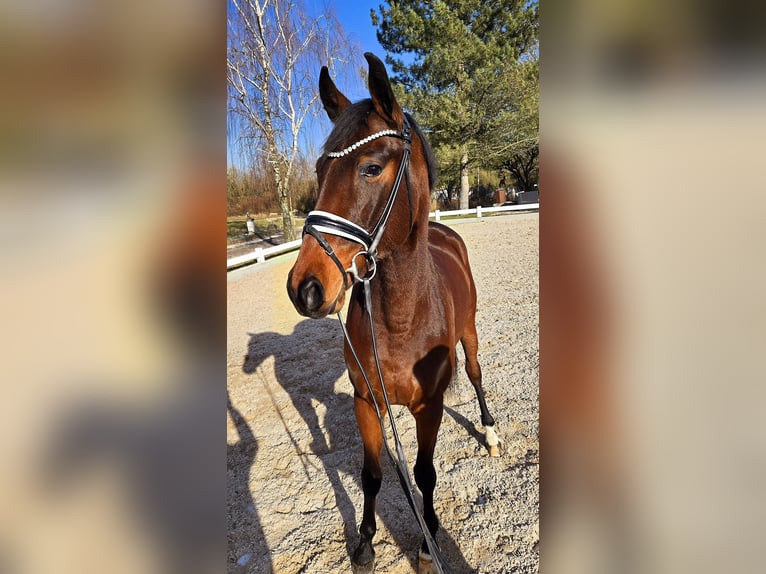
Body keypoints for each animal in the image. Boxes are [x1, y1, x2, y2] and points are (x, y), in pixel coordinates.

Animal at [286, 51, 498, 572]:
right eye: (318, 170)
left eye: (371, 167)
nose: (305, 287)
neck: (402, 317)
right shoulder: (367, 401)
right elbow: (373, 474)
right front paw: (364, 543)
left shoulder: (429, 406)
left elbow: (423, 474)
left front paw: (426, 542)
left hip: (470, 333)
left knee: (477, 374)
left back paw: (490, 431)